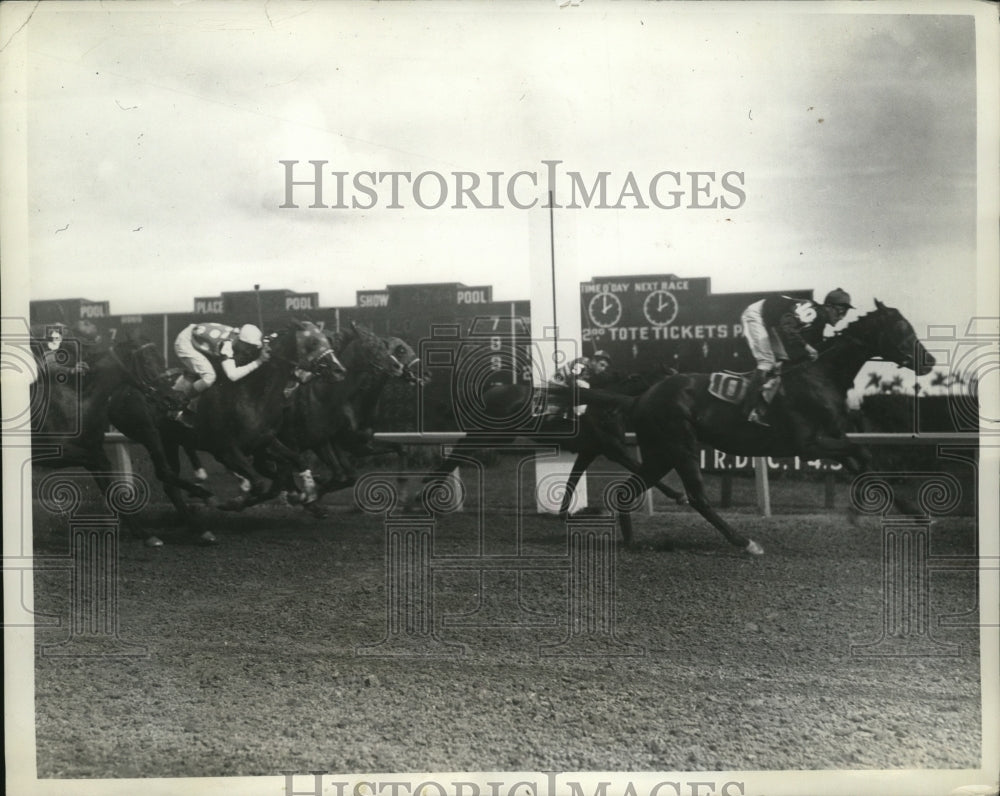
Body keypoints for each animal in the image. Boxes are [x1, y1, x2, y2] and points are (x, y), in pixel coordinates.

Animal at [576, 298, 932, 552]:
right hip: (680, 446)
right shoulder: (810, 444)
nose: (929, 361)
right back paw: (744, 542)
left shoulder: (832, 438)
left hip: (659, 453)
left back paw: (630, 541)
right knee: (698, 497)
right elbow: (863, 454)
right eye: (902, 328)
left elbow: (864, 462)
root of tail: (641, 397)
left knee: (624, 492)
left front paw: (914, 513)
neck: (821, 376)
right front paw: (858, 512)